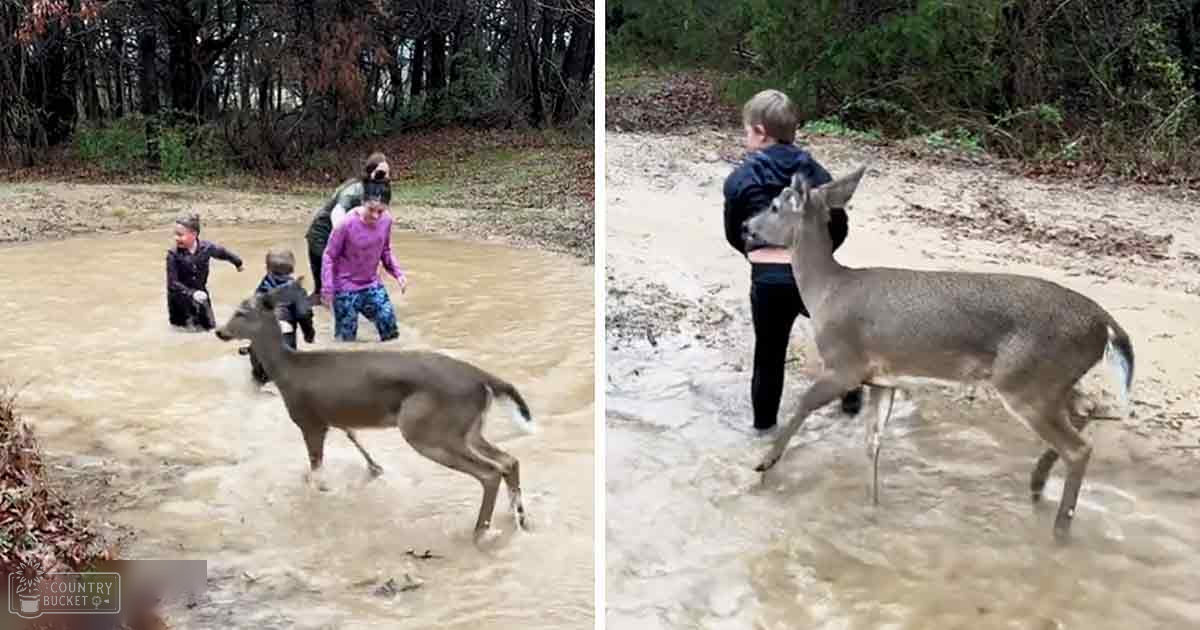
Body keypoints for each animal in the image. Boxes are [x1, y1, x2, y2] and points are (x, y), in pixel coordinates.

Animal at [213, 278, 536, 546]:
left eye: (242, 313)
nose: (219, 331)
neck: (288, 372)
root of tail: (482, 379)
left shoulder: (309, 419)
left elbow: (317, 469)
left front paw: (318, 493)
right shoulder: (337, 415)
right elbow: (355, 440)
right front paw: (375, 468)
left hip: (428, 427)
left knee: (490, 472)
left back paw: (481, 532)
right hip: (468, 428)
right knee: (509, 460)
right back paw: (519, 518)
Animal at [741, 165, 1135, 542]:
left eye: (774, 206)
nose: (746, 227)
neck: (827, 291)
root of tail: (1104, 323)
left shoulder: (845, 363)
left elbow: (805, 402)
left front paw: (765, 462)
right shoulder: (882, 379)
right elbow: (873, 443)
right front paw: (872, 510)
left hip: (1027, 380)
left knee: (1079, 447)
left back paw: (1058, 530)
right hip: (1051, 377)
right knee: (1086, 407)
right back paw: (1038, 486)